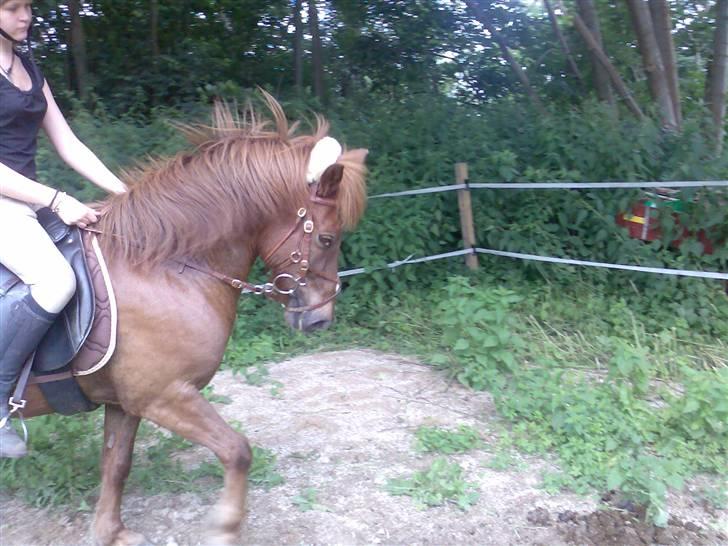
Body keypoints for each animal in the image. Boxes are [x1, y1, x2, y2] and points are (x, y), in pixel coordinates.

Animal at [17, 94, 370, 544]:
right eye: (326, 238)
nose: (321, 318)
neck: (163, 268)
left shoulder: (127, 403)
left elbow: (116, 463)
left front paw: (110, 531)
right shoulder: (166, 395)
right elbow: (237, 450)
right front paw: (225, 527)